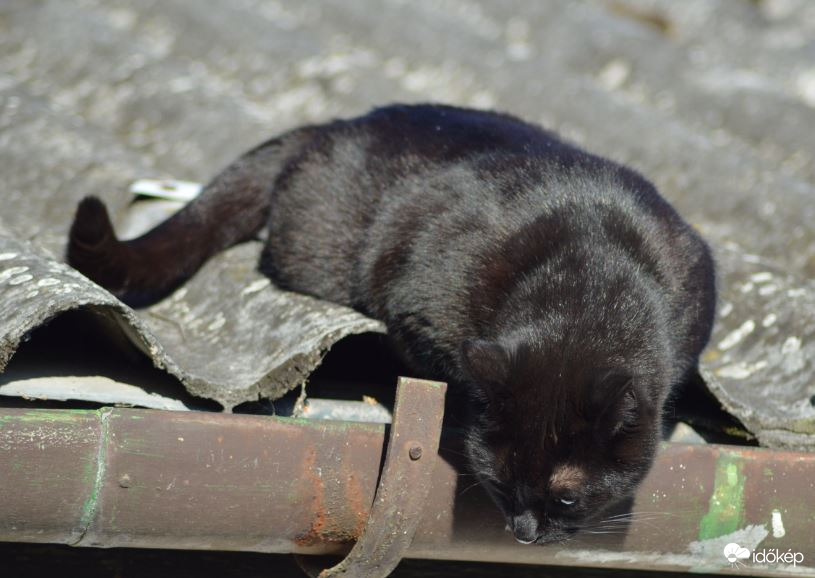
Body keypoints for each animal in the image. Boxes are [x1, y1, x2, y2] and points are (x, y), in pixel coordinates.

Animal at [68, 104, 712, 544]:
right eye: (500, 482)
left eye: (569, 500)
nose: (525, 531)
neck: (590, 277)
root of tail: (333, 125)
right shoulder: (415, 308)